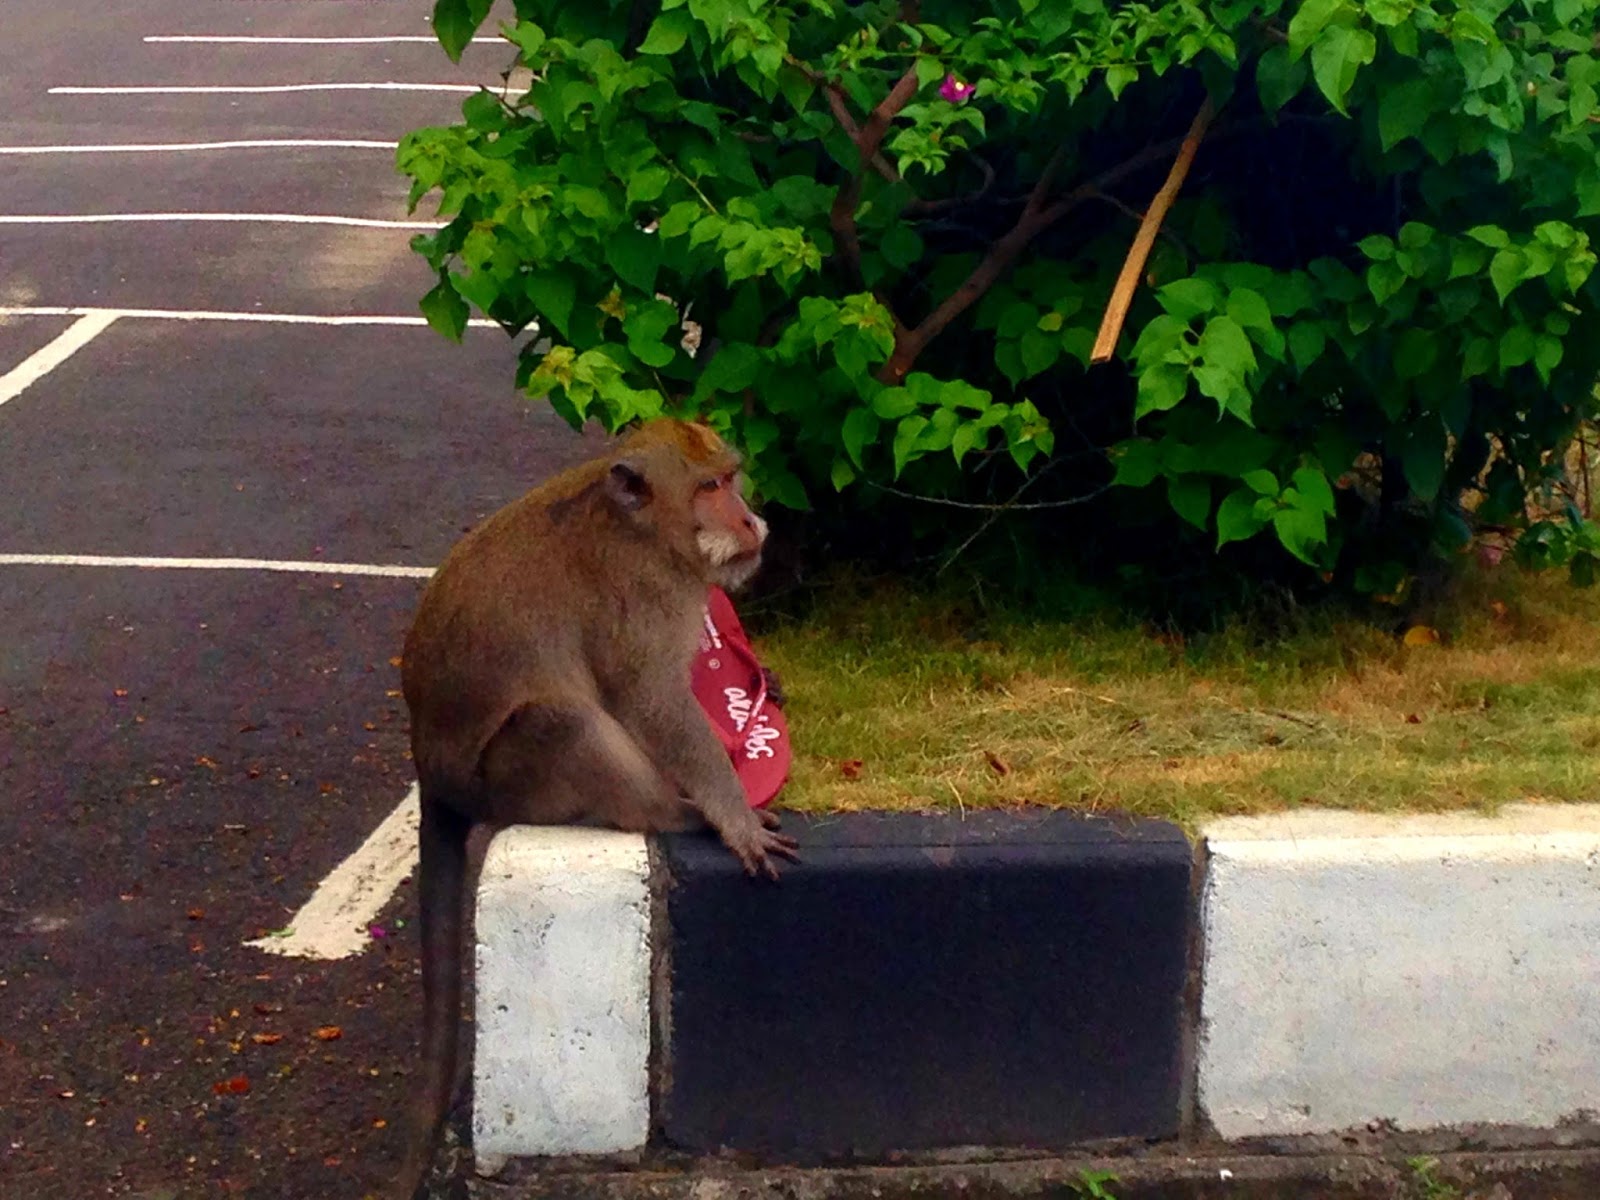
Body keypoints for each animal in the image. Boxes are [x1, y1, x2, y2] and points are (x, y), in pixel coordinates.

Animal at [388, 419, 800, 1196]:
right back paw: (672, 811)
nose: (750, 520)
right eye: (709, 488)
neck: (646, 531)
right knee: (564, 721)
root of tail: (433, 779)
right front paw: (731, 812)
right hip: (507, 780)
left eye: (731, 479)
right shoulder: (643, 597)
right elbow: (654, 703)